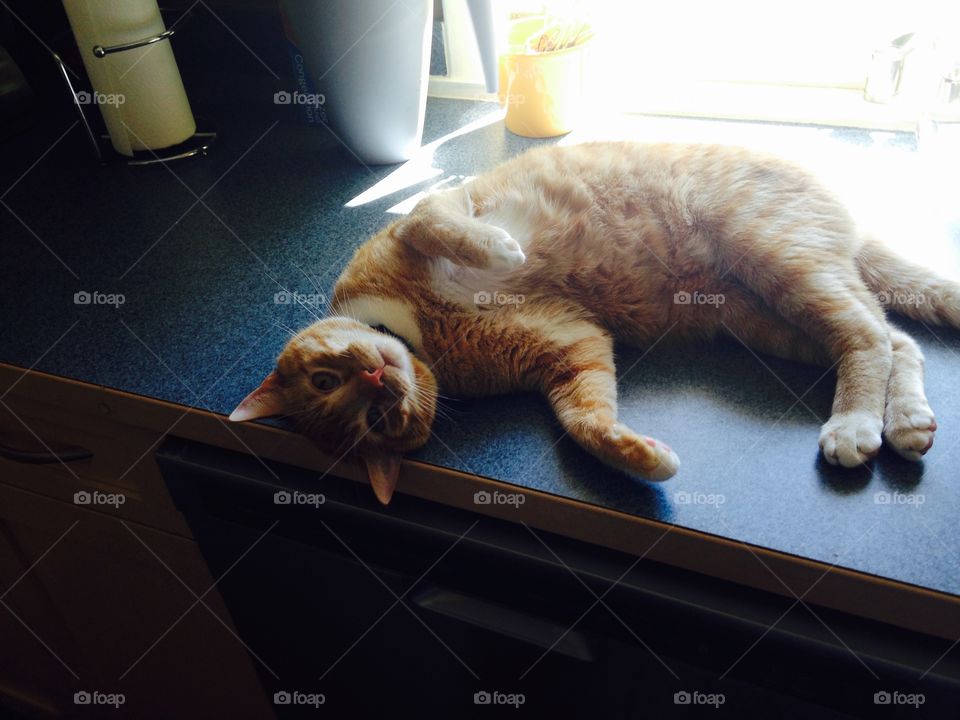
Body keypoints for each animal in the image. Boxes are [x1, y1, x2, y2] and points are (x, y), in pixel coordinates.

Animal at [229, 143, 956, 504]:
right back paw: (900, 421)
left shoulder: (435, 204)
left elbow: (435, 223)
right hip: (765, 315)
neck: (423, 335)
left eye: (325, 380)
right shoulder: (569, 344)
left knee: (869, 333)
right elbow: (583, 419)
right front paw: (640, 458)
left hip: (776, 255)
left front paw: (498, 250)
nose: (380, 378)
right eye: (370, 420)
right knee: (888, 335)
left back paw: (857, 423)